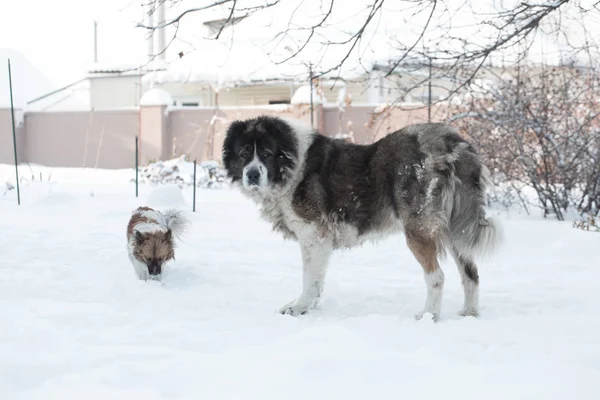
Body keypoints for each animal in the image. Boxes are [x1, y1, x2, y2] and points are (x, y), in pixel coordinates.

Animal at [223, 115, 500, 318]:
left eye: (267, 154)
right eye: (244, 153)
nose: (252, 174)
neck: (291, 165)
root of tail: (452, 144)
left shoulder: (313, 235)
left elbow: (309, 277)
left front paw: (299, 307)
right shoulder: (320, 241)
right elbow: (317, 279)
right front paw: (311, 306)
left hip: (418, 230)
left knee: (436, 277)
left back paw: (428, 316)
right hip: (455, 230)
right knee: (471, 273)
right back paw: (469, 314)